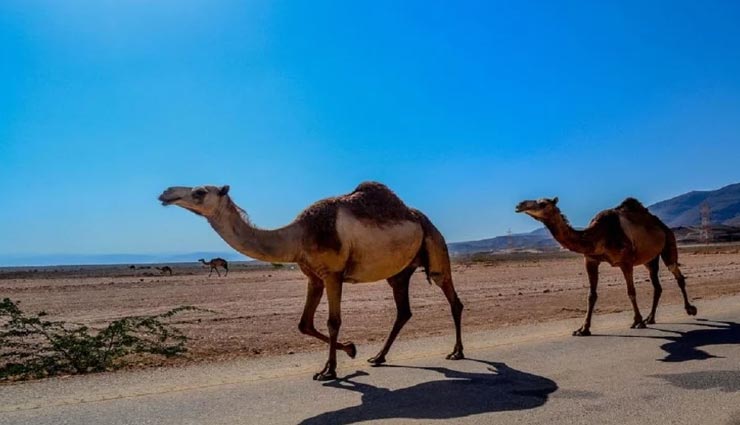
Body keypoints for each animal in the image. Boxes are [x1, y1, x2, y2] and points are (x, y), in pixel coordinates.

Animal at [159, 182, 464, 380]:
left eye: (199, 192)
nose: (165, 193)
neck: (299, 236)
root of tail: (421, 218)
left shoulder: (333, 274)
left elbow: (333, 322)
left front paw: (329, 370)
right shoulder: (314, 277)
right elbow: (304, 324)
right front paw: (351, 350)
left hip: (435, 246)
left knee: (452, 299)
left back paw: (456, 353)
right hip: (399, 273)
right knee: (403, 311)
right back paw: (378, 357)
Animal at [516, 197, 697, 336]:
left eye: (543, 203)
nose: (520, 205)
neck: (597, 236)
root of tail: (661, 225)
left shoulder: (625, 262)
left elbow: (631, 292)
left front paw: (637, 321)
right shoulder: (590, 260)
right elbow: (591, 295)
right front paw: (583, 329)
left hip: (669, 243)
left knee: (677, 274)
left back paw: (690, 309)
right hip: (650, 260)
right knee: (657, 286)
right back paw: (651, 318)